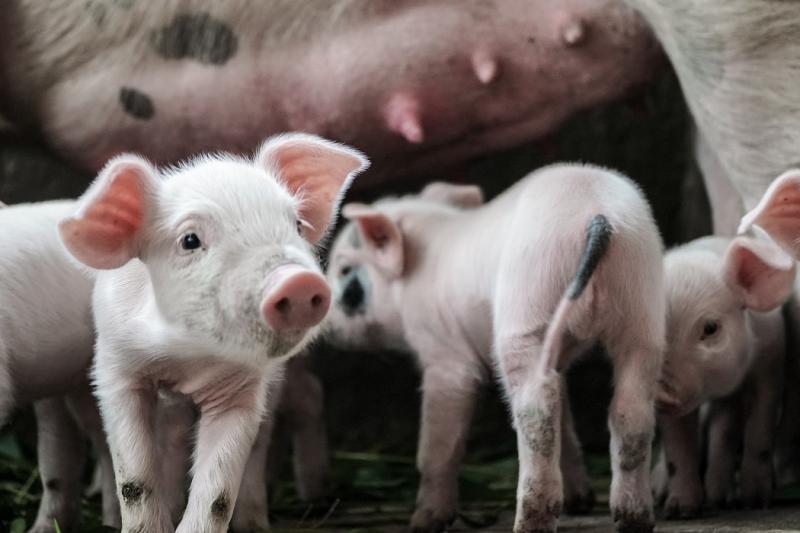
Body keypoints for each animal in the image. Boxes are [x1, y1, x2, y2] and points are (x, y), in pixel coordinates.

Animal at [58, 133, 367, 533]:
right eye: (190, 240)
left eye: (297, 225)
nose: (297, 281)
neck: (187, 359)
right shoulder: (116, 370)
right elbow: (135, 480)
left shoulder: (242, 391)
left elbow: (218, 495)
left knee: (297, 406)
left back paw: (293, 505)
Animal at [324, 165, 665, 533]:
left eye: (345, 271)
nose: (323, 322)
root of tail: (597, 216)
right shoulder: (558, 358)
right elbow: (566, 422)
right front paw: (580, 503)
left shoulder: (445, 355)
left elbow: (439, 444)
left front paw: (424, 523)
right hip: (641, 304)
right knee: (629, 409)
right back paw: (633, 521)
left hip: (527, 309)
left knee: (537, 410)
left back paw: (528, 524)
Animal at [653, 236, 794, 518]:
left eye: (710, 328)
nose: (661, 390)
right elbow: (678, 447)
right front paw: (680, 511)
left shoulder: (770, 363)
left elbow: (758, 429)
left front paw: (755, 503)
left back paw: (721, 499)